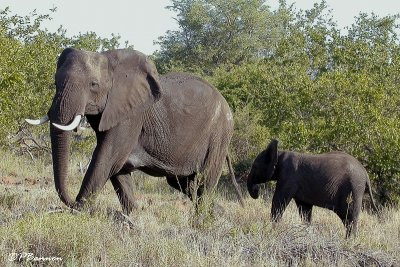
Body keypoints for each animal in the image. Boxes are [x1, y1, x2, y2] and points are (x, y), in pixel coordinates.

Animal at [27, 47, 244, 216]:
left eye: (93, 85)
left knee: (203, 183)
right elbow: (118, 168)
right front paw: (133, 217)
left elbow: (108, 157)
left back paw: (203, 221)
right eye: (55, 82)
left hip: (219, 134)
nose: (73, 201)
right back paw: (217, 213)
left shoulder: (131, 116)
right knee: (184, 183)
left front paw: (80, 209)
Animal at [247, 139, 378, 238]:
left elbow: (279, 201)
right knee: (347, 218)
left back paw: (349, 241)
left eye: (255, 167)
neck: (280, 153)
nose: (256, 191)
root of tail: (365, 173)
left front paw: (273, 229)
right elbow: (305, 209)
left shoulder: (288, 176)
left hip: (354, 188)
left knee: (350, 216)